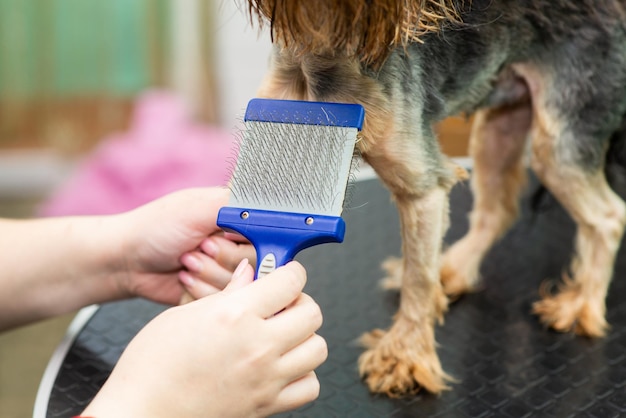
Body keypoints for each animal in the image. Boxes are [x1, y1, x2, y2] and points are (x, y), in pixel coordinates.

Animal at [243, 0, 624, 396]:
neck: (327, 44)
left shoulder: (422, 185)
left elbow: (419, 276)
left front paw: (405, 357)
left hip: (564, 129)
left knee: (609, 216)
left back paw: (581, 305)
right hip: (499, 120)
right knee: (499, 209)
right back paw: (454, 268)